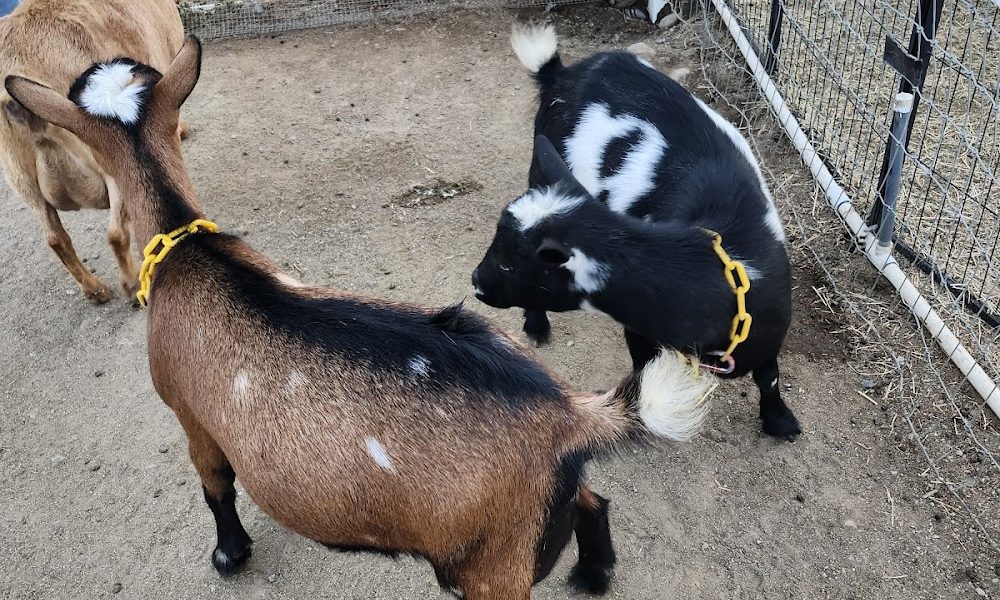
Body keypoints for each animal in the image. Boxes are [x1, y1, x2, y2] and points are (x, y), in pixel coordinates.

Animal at [0, 0, 184, 304]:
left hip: (21, 178)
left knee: (56, 238)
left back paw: (94, 289)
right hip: (104, 158)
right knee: (116, 233)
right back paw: (131, 283)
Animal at [6, 37, 716, 599]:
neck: (190, 250)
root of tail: (574, 418)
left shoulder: (191, 414)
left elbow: (216, 488)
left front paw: (230, 556)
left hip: (494, 567)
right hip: (541, 513)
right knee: (594, 502)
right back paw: (593, 575)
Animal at [471, 24, 801, 441]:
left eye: (509, 266)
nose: (476, 283)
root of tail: (562, 73)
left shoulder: (772, 333)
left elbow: (769, 376)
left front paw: (780, 421)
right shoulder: (640, 334)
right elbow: (644, 378)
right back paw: (536, 325)